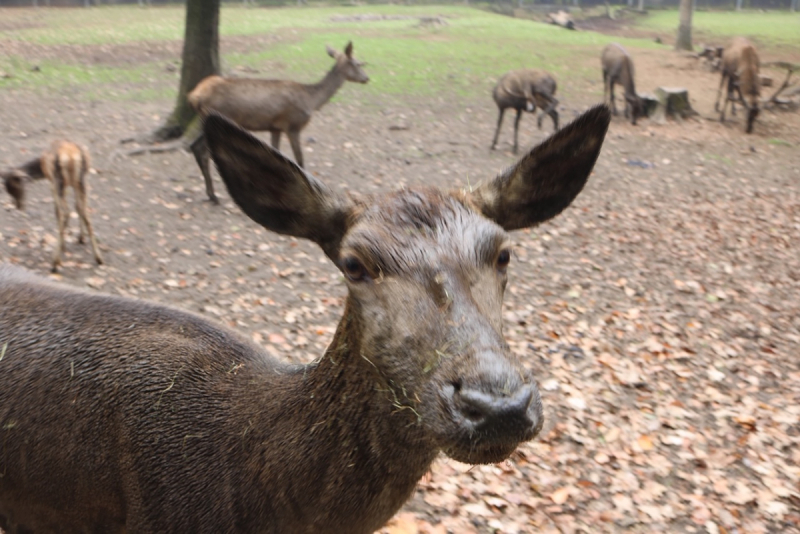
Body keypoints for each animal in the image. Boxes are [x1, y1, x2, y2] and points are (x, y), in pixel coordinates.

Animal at [0, 140, 102, 274]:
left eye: (13, 187)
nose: (17, 205)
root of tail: (71, 156)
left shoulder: (51, 182)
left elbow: (58, 212)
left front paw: (64, 246)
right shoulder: (74, 185)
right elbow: (78, 208)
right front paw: (80, 238)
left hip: (59, 180)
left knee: (65, 212)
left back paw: (55, 263)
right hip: (82, 180)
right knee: (85, 212)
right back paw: (98, 258)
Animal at [187, 40, 368, 204]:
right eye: (357, 63)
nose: (367, 78)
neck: (311, 101)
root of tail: (194, 95)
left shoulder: (275, 127)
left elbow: (276, 154)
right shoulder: (292, 125)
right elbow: (299, 159)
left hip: (205, 120)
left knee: (194, 146)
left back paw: (210, 194)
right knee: (204, 152)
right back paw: (214, 196)